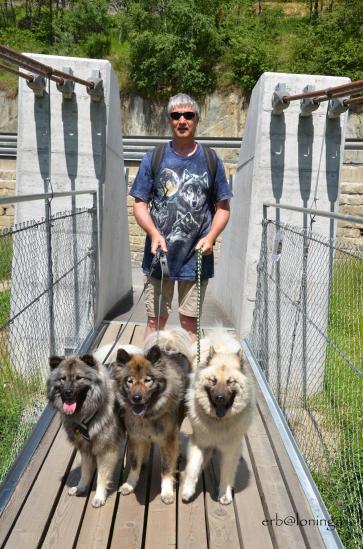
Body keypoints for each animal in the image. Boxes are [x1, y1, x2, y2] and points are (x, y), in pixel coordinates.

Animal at [46, 354, 123, 508]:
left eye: (79, 378)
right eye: (62, 378)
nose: (68, 392)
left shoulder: (106, 450)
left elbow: (101, 476)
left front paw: (99, 496)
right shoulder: (86, 449)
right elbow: (85, 472)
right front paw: (80, 488)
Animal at [112, 328, 193, 504]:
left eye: (147, 380)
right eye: (130, 381)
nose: (136, 398)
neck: (147, 416)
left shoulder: (167, 440)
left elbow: (166, 469)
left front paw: (167, 492)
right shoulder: (136, 438)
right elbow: (135, 464)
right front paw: (130, 484)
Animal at [182, 330, 256, 506]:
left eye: (230, 382)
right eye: (213, 381)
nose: (220, 398)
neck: (218, 421)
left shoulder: (230, 448)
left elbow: (227, 473)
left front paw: (224, 494)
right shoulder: (200, 442)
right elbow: (193, 468)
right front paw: (188, 490)